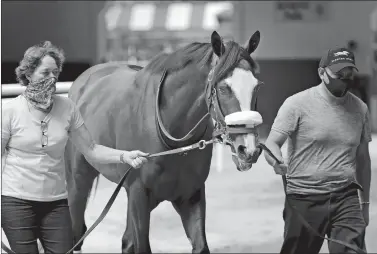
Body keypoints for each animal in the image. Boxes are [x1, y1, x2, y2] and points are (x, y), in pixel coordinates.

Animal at [64, 30, 262, 253]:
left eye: (256, 87)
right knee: (77, 231)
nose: (249, 150)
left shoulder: (191, 195)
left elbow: (200, 246)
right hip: (78, 181)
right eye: (223, 88)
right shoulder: (139, 193)